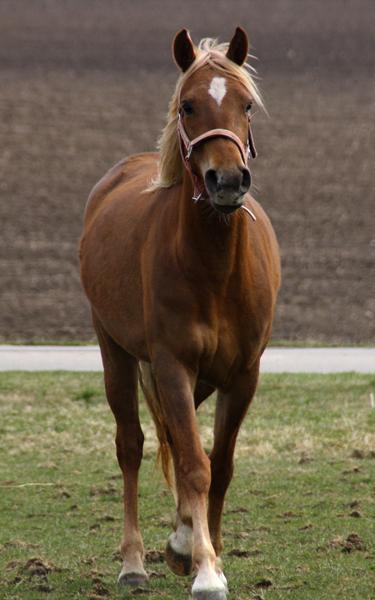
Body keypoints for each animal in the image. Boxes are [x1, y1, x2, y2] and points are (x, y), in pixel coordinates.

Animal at [81, 25, 282, 596]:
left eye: (247, 105)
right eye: (188, 105)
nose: (228, 181)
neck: (215, 272)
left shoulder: (243, 375)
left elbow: (222, 463)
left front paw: (197, 548)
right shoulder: (172, 364)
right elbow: (194, 464)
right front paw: (206, 568)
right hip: (115, 351)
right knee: (131, 444)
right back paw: (134, 562)